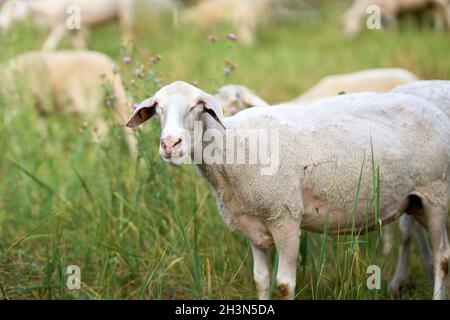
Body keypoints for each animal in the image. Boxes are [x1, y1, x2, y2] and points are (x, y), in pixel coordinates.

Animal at [0, 49, 136, 156]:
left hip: (88, 103)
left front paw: (20, 150)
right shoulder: (40, 110)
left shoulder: (17, 106)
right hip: (114, 99)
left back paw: (97, 157)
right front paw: (49, 152)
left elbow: (14, 127)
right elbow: (41, 131)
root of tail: (107, 68)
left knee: (102, 129)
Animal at [125, 80, 450, 300]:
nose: (170, 144)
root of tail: (434, 111)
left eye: (198, 106)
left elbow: (283, 285)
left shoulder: (286, 219)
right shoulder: (254, 227)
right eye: (157, 108)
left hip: (435, 194)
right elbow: (260, 280)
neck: (235, 148)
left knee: (442, 257)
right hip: (413, 201)